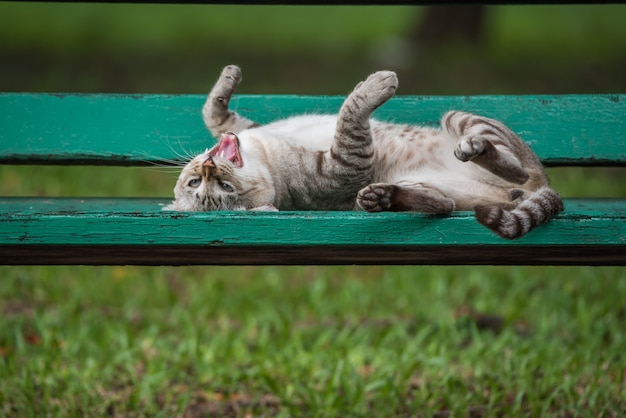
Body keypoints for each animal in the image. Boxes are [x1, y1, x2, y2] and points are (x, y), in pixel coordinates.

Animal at [165, 63, 560, 237]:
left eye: (194, 183)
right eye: (220, 189)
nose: (207, 168)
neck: (264, 152)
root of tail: (542, 190)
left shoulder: (246, 128)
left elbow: (215, 114)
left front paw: (228, 77)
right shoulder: (348, 165)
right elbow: (350, 114)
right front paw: (377, 84)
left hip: (453, 124)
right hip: (449, 149)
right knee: (479, 185)